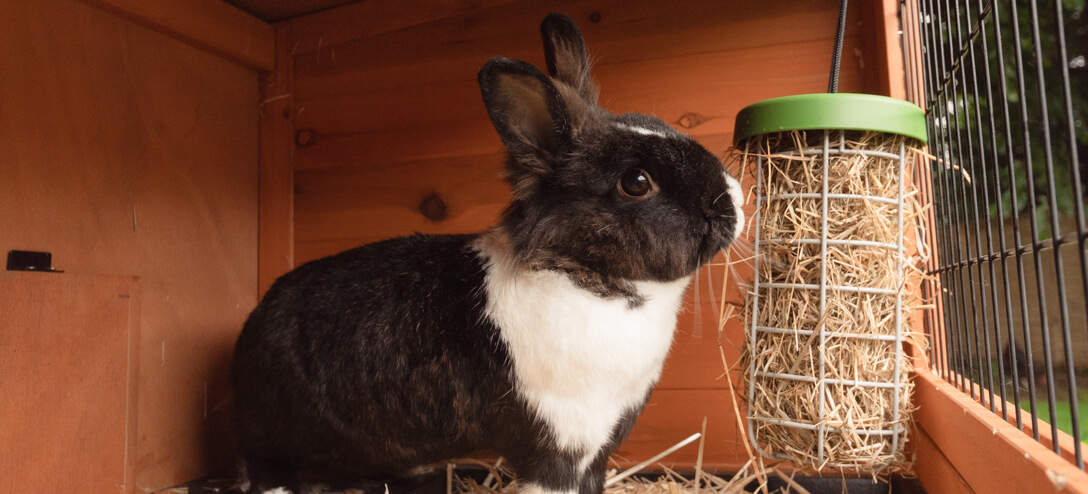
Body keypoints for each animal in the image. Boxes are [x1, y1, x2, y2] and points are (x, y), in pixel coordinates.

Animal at [231, 13, 745, 494]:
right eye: (637, 182)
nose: (733, 199)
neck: (585, 275)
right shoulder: (558, 442)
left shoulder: (600, 443)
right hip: (272, 434)